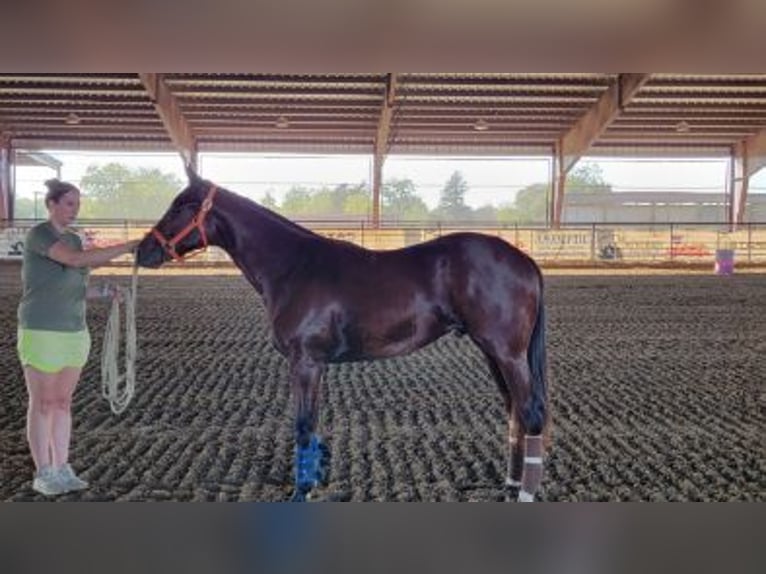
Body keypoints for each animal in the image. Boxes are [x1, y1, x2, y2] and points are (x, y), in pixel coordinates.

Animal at [135, 168, 548, 504]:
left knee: (530, 414)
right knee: (515, 413)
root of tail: (525, 260)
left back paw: (524, 493)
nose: (143, 251)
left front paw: (300, 492)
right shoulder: (314, 366)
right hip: (493, 353)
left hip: (507, 353)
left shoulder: (305, 362)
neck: (294, 267)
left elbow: (303, 426)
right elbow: (312, 423)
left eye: (181, 206)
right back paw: (509, 487)